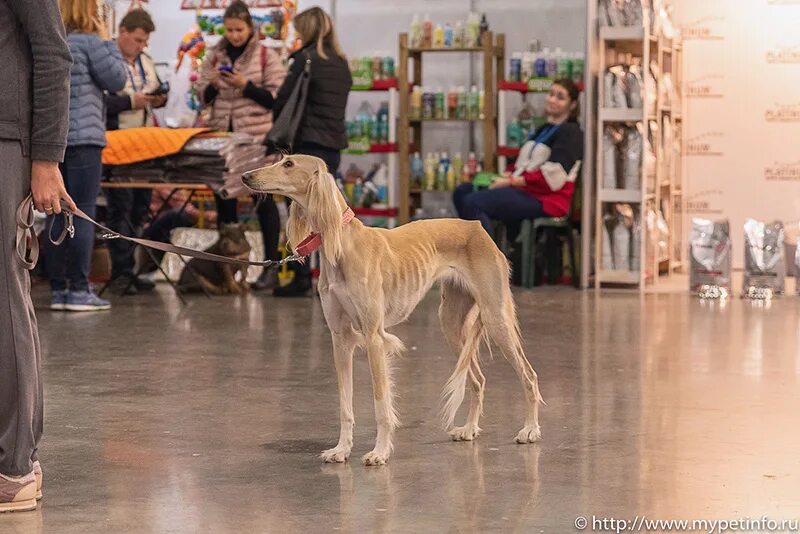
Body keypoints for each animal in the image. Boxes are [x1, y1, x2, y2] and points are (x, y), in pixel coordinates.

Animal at [242, 156, 544, 468]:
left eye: (289, 164)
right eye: (280, 159)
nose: (245, 176)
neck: (343, 245)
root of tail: (478, 228)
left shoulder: (374, 337)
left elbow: (381, 403)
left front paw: (380, 452)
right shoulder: (340, 338)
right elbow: (345, 404)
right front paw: (342, 449)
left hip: (496, 318)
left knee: (529, 376)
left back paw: (530, 429)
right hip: (451, 324)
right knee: (478, 380)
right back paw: (470, 428)